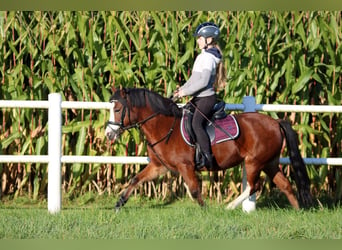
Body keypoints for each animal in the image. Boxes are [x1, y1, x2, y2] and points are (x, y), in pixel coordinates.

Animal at [104, 88, 312, 211]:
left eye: (117, 109)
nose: (108, 133)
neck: (165, 126)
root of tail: (275, 122)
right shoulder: (159, 166)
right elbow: (135, 179)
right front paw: (118, 204)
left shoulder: (185, 166)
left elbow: (195, 190)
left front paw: (205, 211)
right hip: (270, 162)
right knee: (285, 185)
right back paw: (297, 211)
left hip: (254, 162)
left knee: (255, 186)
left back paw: (230, 206)